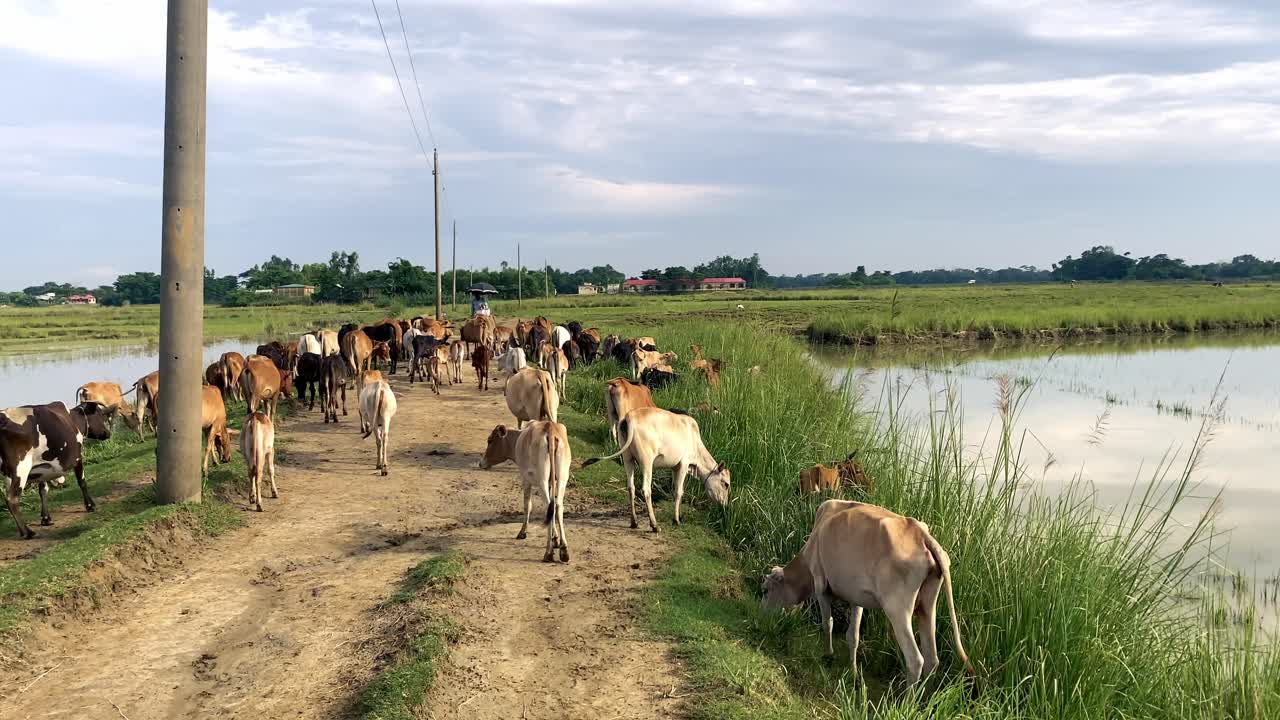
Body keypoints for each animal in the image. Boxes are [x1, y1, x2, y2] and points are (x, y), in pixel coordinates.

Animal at [2, 401, 112, 538]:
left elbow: (43, 490)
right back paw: (27, 532)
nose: (108, 433)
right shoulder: (78, 457)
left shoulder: (41, 468)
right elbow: (82, 482)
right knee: (12, 498)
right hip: (20, 468)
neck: (74, 420)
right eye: (100, 414)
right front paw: (90, 506)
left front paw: (46, 518)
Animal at [478, 421, 571, 563]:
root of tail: (550, 428)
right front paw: (555, 540)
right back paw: (564, 550)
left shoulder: (526, 479)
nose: (481, 463)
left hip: (542, 480)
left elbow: (528, 505)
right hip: (562, 477)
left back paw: (548, 552)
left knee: (548, 506)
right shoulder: (552, 483)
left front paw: (523, 532)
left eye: (490, 440)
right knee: (557, 506)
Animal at [582, 407, 730, 532]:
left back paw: (634, 522)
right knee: (646, 489)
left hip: (628, 458)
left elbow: (676, 491)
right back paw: (654, 525)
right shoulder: (683, 463)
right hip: (647, 461)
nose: (724, 506)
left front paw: (679, 516)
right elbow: (679, 492)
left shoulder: (675, 467)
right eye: (726, 484)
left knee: (631, 488)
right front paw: (676, 520)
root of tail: (630, 417)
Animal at [761, 499, 974, 684]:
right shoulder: (857, 597)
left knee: (915, 660)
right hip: (927, 605)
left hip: (898, 609)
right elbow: (852, 635)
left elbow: (827, 623)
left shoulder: (821, 585)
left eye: (765, 590)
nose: (761, 614)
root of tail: (921, 534)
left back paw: (908, 702)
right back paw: (924, 700)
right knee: (932, 659)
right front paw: (853, 671)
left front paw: (828, 655)